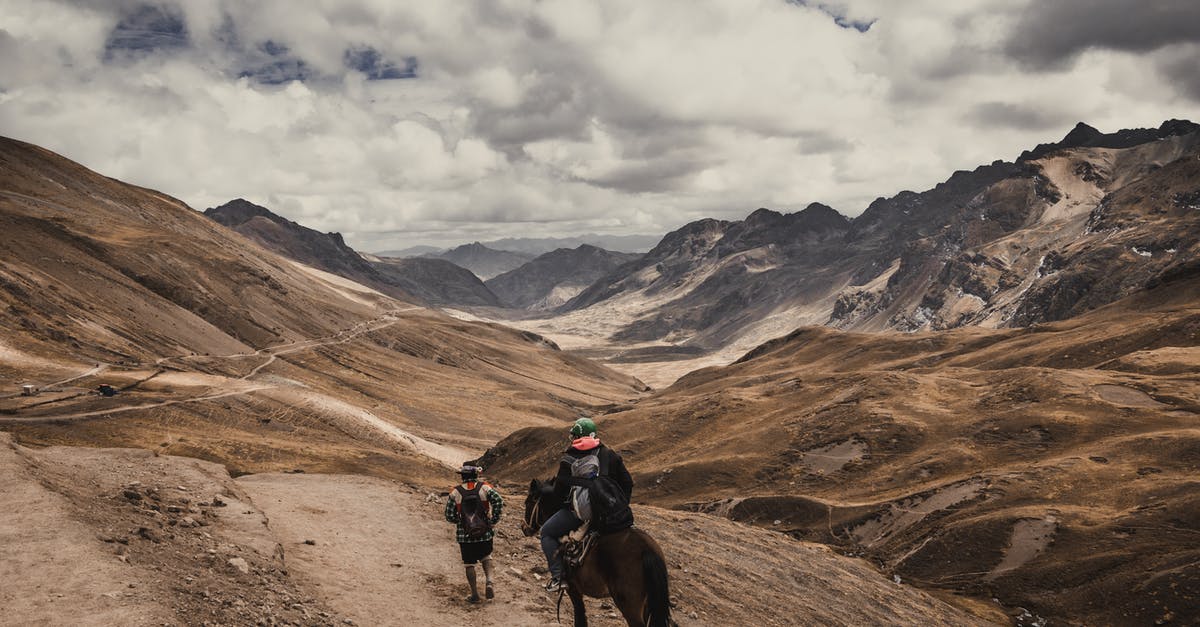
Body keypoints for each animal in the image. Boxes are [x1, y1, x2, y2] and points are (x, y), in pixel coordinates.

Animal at [523, 475, 672, 619]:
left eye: (528, 502)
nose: (524, 528)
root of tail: (647, 550)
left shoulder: (573, 589)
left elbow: (580, 617)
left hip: (629, 606)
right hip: (648, 605)